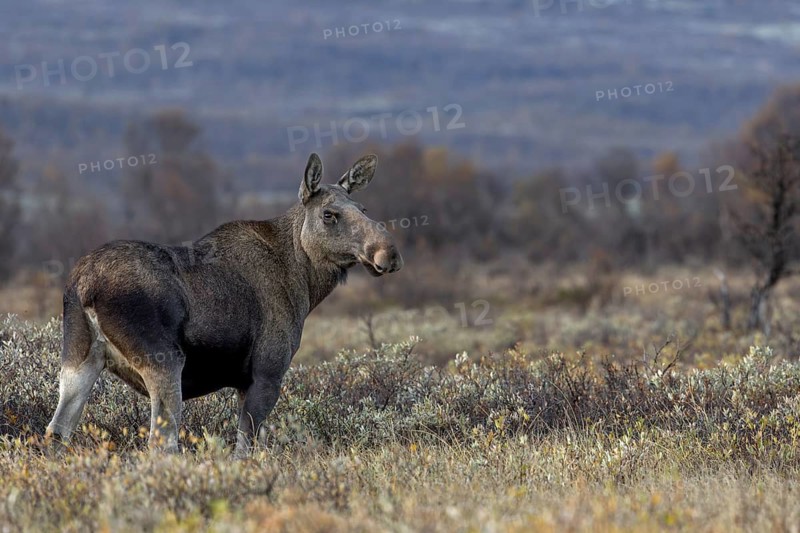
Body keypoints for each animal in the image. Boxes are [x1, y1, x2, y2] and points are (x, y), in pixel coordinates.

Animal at [45, 153, 403, 456]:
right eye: (329, 214)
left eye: (363, 209)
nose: (388, 254)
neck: (305, 282)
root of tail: (83, 285)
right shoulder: (266, 373)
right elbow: (245, 449)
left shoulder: (243, 382)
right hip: (164, 361)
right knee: (161, 443)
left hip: (78, 357)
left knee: (56, 432)